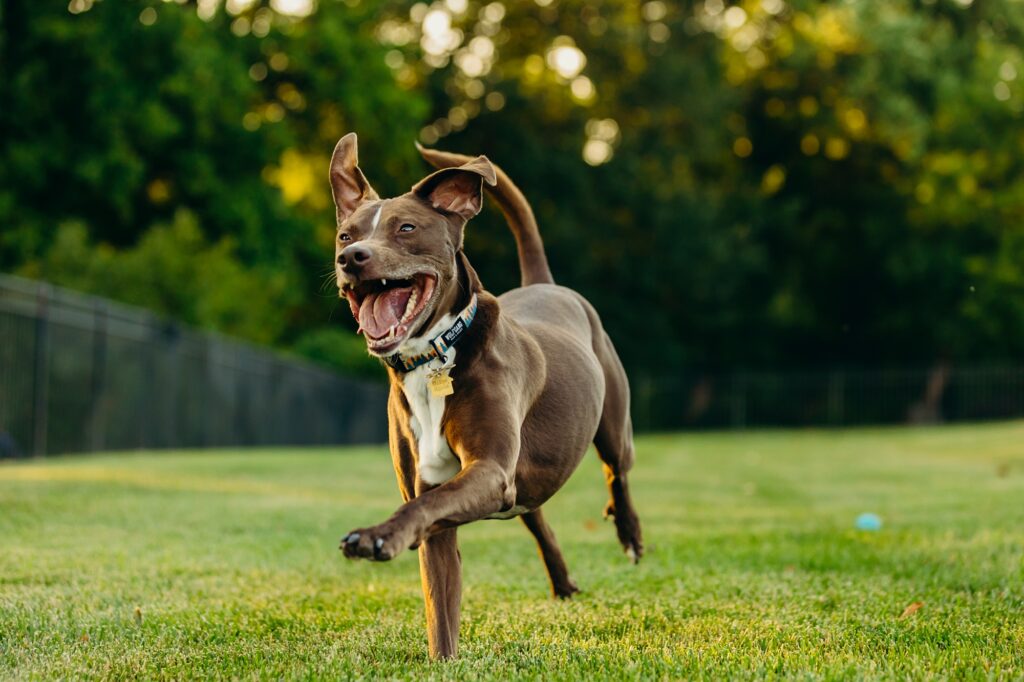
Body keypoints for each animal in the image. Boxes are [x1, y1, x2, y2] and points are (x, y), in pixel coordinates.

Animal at [331, 133, 643, 659]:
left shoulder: (490, 470)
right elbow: (439, 600)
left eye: (406, 228)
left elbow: (421, 509)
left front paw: (376, 537)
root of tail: (544, 284)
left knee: (616, 472)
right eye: (346, 236)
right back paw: (563, 583)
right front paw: (443, 660)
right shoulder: (447, 498)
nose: (352, 259)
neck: (434, 355)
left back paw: (630, 534)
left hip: (612, 426)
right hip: (527, 479)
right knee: (536, 514)